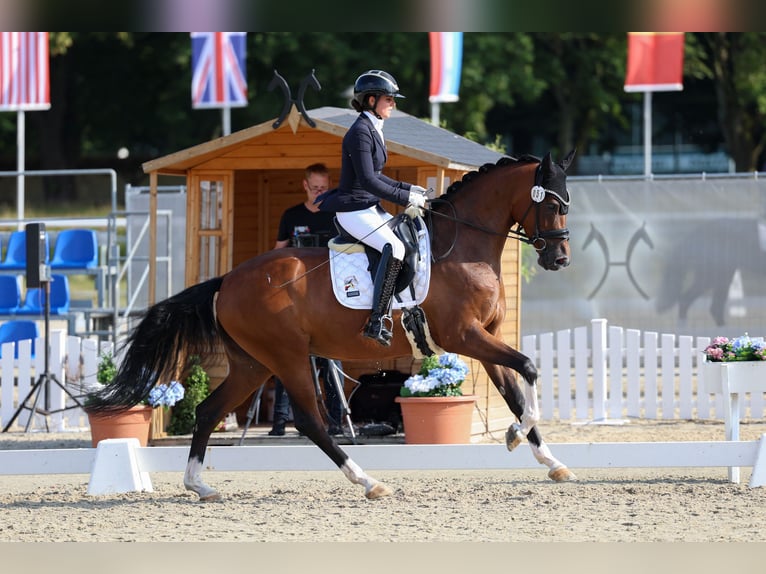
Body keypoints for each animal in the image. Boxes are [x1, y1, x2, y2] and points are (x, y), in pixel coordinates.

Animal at [90, 151, 580, 502]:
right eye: (553, 204)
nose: (560, 260)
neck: (463, 247)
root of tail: (227, 280)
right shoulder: (465, 336)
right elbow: (529, 368)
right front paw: (517, 437)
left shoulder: (485, 338)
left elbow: (515, 394)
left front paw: (551, 460)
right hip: (287, 357)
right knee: (311, 420)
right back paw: (368, 482)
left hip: (252, 363)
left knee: (210, 410)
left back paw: (200, 486)